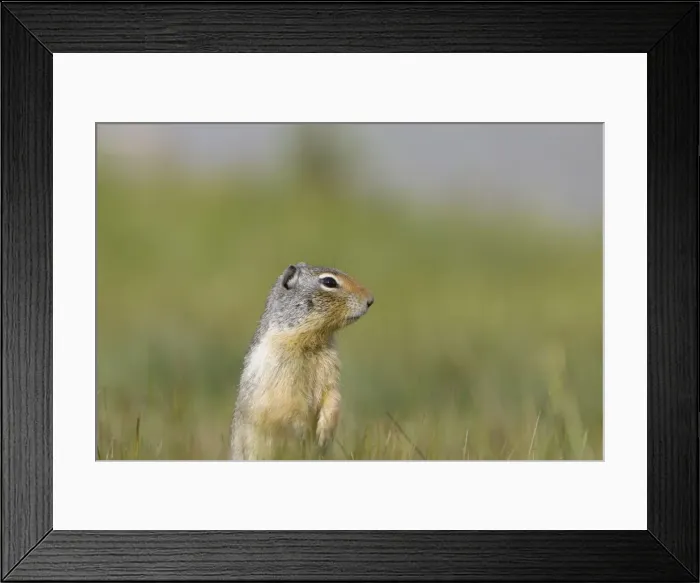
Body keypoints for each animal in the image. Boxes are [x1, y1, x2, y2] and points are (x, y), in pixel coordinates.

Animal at [229, 262, 374, 460]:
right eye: (329, 282)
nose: (370, 300)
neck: (311, 342)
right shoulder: (280, 374)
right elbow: (288, 405)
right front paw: (302, 431)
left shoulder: (331, 368)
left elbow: (333, 395)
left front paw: (323, 432)